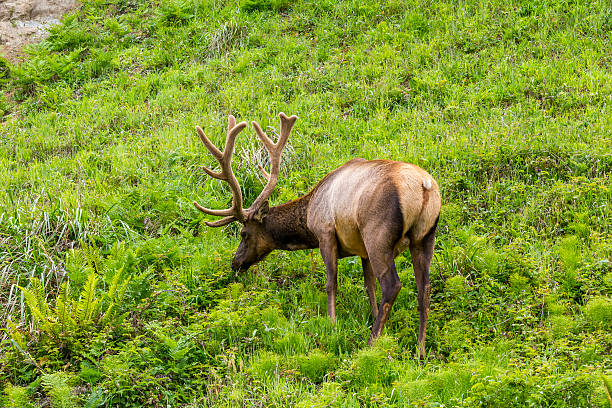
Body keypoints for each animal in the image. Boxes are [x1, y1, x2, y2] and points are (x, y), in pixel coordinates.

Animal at [191, 112, 440, 356]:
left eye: (243, 233)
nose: (235, 263)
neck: (309, 213)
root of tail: (424, 185)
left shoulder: (325, 232)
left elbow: (331, 283)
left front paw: (333, 323)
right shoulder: (361, 249)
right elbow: (369, 285)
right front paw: (373, 317)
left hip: (377, 233)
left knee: (392, 284)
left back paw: (371, 344)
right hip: (425, 236)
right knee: (424, 288)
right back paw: (420, 350)